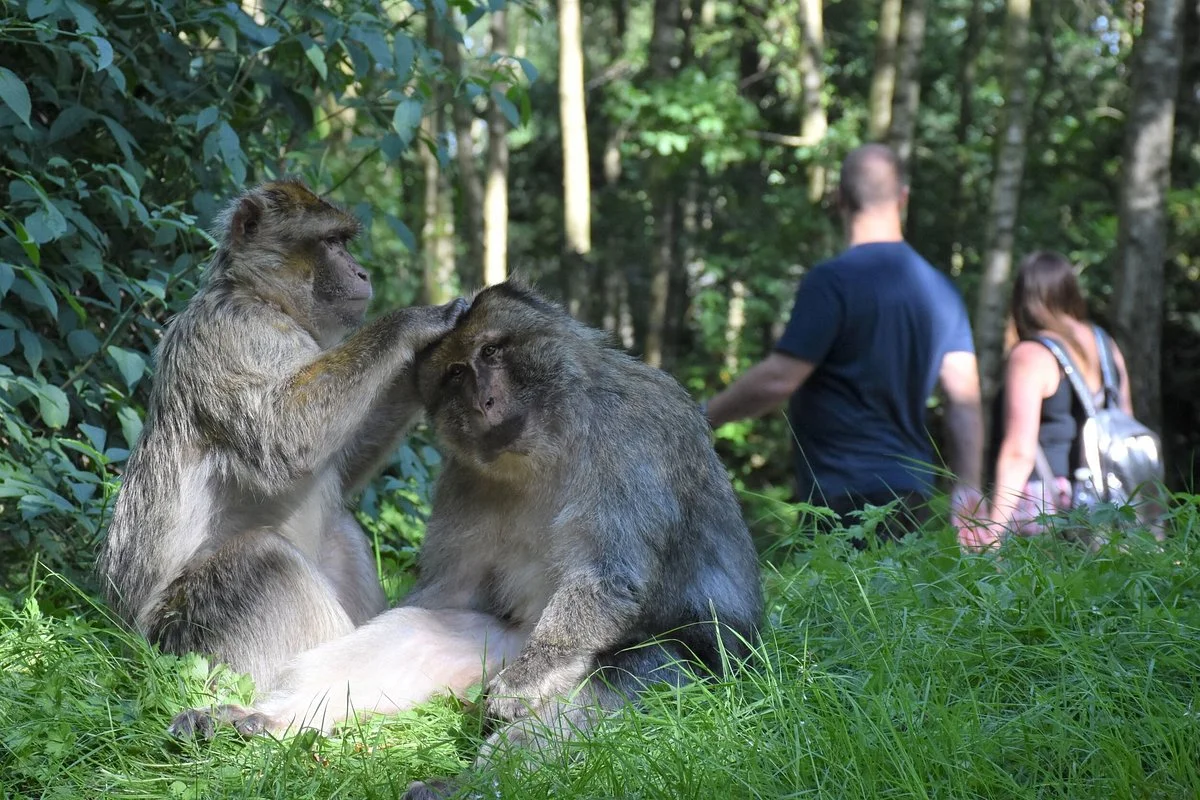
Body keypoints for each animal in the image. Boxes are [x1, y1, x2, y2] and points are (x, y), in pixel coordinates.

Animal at [96, 178, 470, 700]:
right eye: (332, 242)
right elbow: (283, 439)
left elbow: (339, 464)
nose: (362, 271)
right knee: (260, 558)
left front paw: (424, 370)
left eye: (345, 242)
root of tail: (125, 643)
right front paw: (413, 322)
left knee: (341, 531)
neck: (264, 299)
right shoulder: (236, 334)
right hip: (186, 637)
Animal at [171, 281, 763, 794]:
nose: (484, 401)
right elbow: (447, 589)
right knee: (414, 632)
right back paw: (262, 720)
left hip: (706, 668)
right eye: (457, 373)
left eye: (493, 353)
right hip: (494, 649)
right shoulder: (461, 476)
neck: (546, 446)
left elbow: (605, 579)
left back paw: (475, 784)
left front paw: (529, 685)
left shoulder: (633, 436)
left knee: (608, 686)